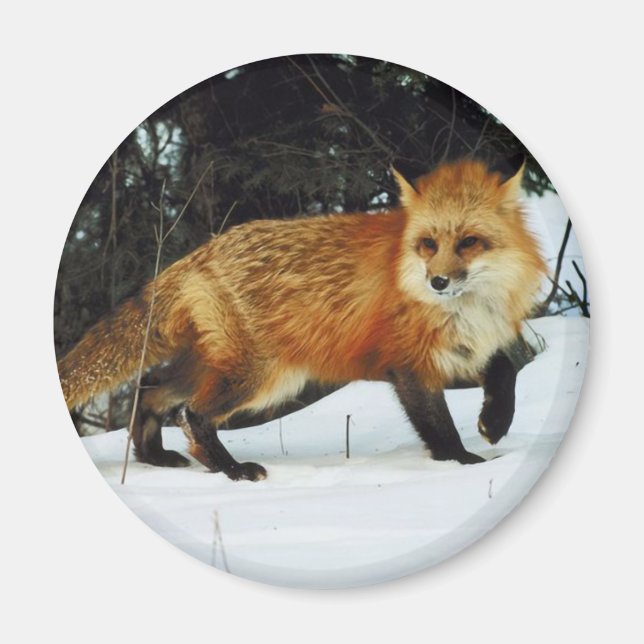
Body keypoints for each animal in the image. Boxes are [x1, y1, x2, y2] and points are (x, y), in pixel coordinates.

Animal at [58, 156, 546, 481]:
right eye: (428, 244)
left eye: (469, 242)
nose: (438, 282)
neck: (467, 310)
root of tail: (203, 251)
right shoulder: (409, 364)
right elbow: (439, 428)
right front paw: (465, 466)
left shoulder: (477, 343)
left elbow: (507, 370)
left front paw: (495, 423)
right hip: (261, 377)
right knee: (191, 415)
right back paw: (232, 470)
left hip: (218, 367)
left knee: (151, 389)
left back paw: (155, 459)